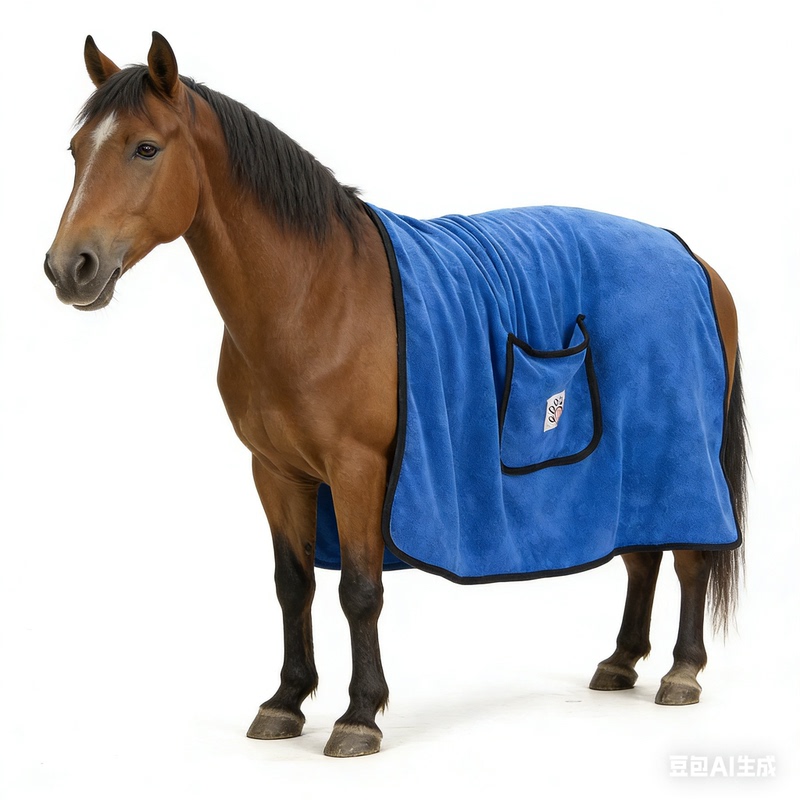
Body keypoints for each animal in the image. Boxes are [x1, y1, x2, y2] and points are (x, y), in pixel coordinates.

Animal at [45, 32, 747, 758]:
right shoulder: (277, 472)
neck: (312, 293)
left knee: (691, 557)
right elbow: (293, 585)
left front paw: (359, 715)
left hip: (680, 449)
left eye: (145, 148)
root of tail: (690, 258)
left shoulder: (358, 469)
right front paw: (286, 701)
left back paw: (682, 672)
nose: (70, 269)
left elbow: (359, 590)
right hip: (631, 463)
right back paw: (621, 661)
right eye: (75, 150)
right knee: (642, 556)